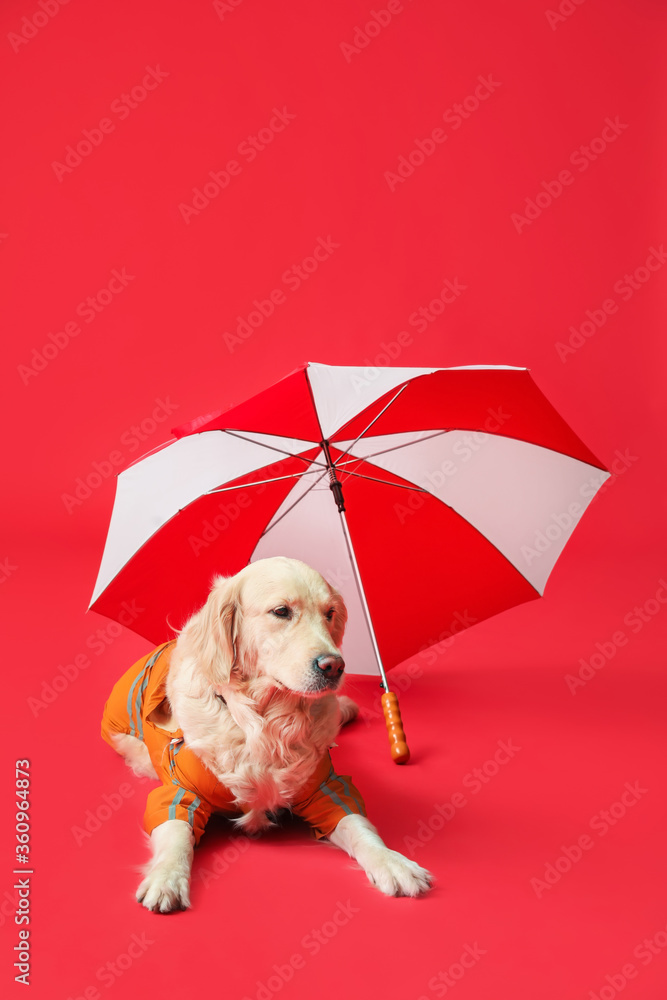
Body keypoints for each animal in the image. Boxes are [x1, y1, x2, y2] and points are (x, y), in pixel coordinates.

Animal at [100, 560, 434, 912]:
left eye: (329, 613)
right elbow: (175, 832)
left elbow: (358, 826)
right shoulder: (180, 790)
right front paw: (167, 878)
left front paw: (392, 862)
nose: (334, 666)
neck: (269, 724)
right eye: (281, 611)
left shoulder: (325, 789)